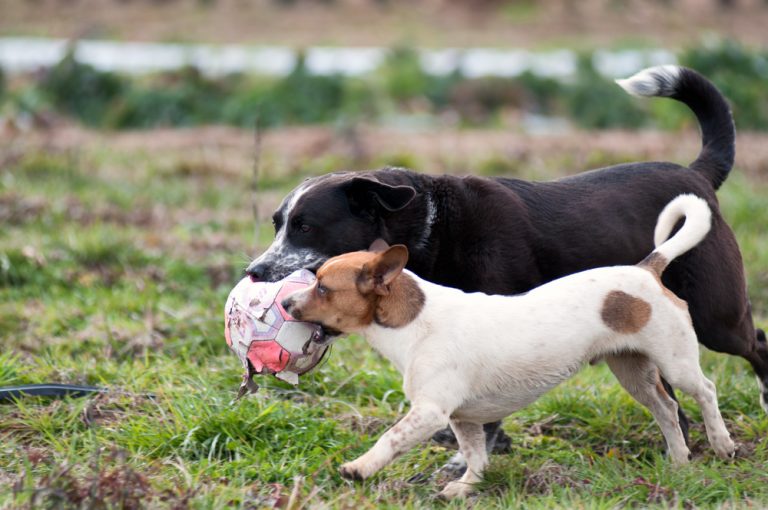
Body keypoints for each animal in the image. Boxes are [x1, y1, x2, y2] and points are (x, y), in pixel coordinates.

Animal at [249, 66, 764, 466]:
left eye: (306, 227)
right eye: (277, 223)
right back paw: (678, 446)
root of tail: (697, 173)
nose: (254, 271)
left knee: (753, 342)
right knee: (668, 395)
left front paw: (471, 457)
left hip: (715, 315)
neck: (434, 226)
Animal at [280, 194, 732, 498]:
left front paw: (360, 468)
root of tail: (646, 270)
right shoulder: (463, 419)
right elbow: (476, 456)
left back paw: (722, 443)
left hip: (675, 362)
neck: (415, 321)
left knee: (706, 391)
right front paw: (466, 487)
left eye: (323, 288)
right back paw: (679, 462)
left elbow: (390, 440)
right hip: (633, 372)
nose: (284, 304)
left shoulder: (429, 413)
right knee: (667, 409)